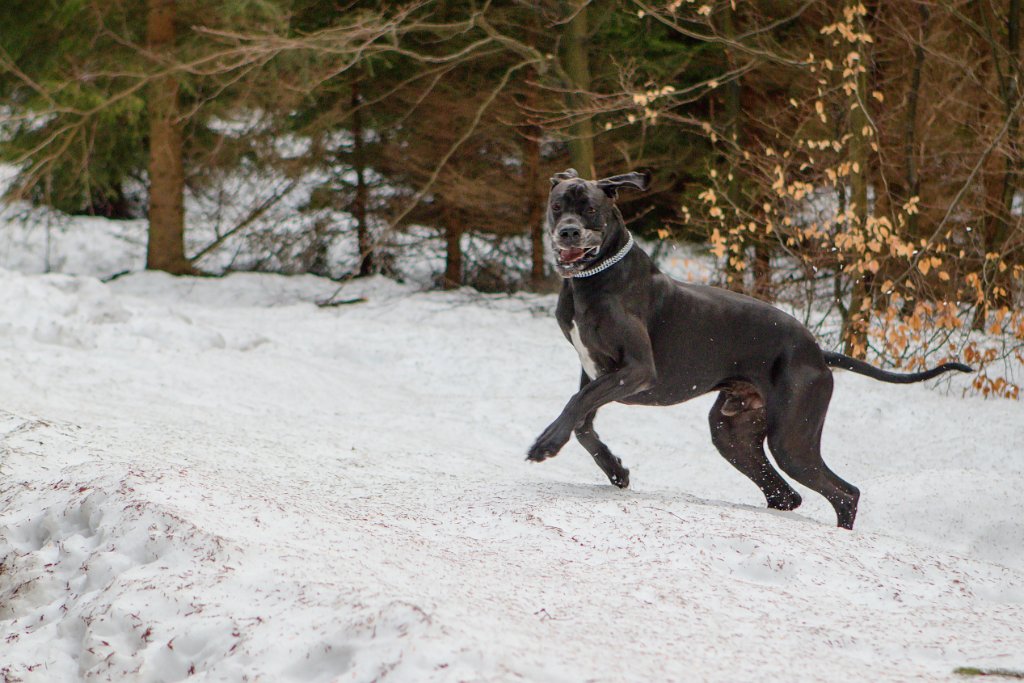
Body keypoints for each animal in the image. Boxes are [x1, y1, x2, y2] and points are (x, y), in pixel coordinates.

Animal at [528, 169, 966, 528]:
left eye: (590, 210)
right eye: (558, 206)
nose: (568, 232)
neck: (594, 277)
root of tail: (817, 352)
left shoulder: (636, 370)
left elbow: (577, 404)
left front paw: (546, 443)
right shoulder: (596, 371)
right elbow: (583, 420)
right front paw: (616, 469)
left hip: (791, 439)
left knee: (845, 492)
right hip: (732, 432)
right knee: (787, 494)